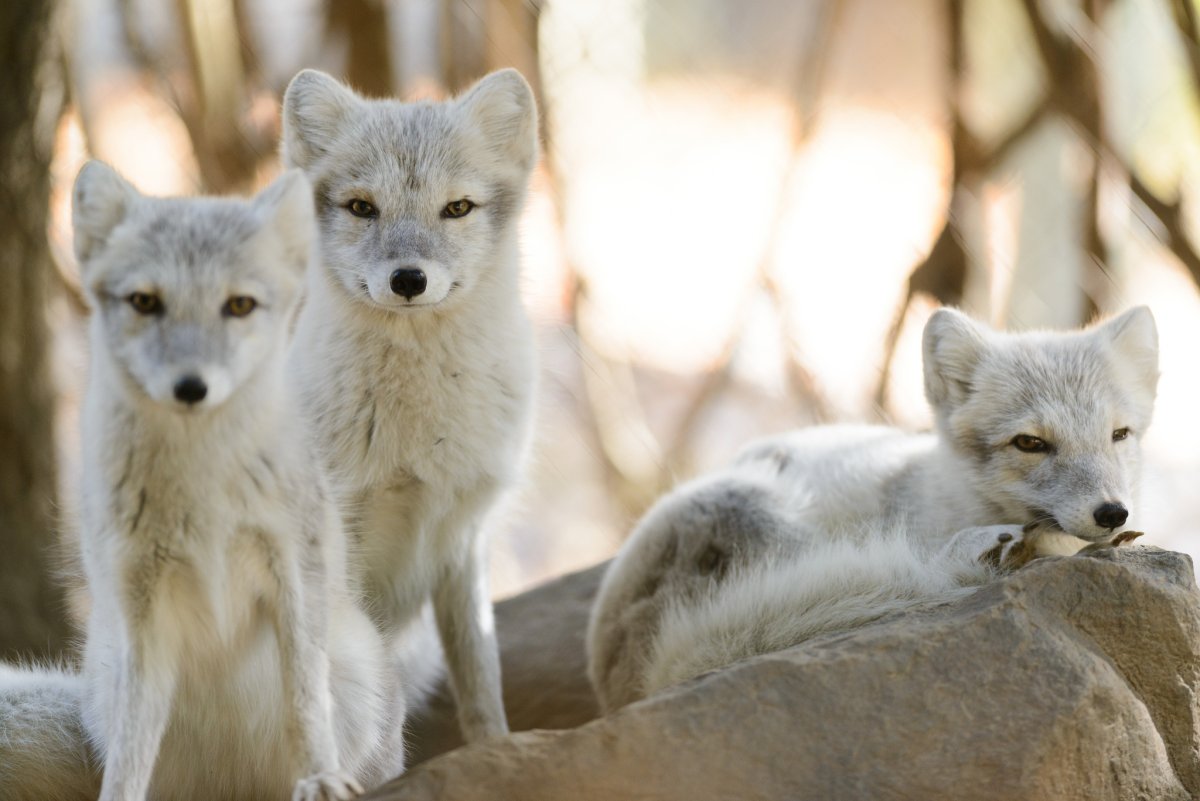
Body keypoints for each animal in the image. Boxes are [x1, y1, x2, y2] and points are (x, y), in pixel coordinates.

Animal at [0, 161, 400, 801]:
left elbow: (305, 704)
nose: (191, 387)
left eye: (239, 305)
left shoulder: (292, 577)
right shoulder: (142, 614)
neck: (202, 494)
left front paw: (321, 778)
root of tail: (229, 789)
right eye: (145, 302)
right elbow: (131, 754)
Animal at [279, 68, 539, 743]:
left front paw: (496, 748)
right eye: (362, 207)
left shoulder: (464, 535)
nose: (408, 280)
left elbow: (480, 672)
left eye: (457, 208)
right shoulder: (344, 537)